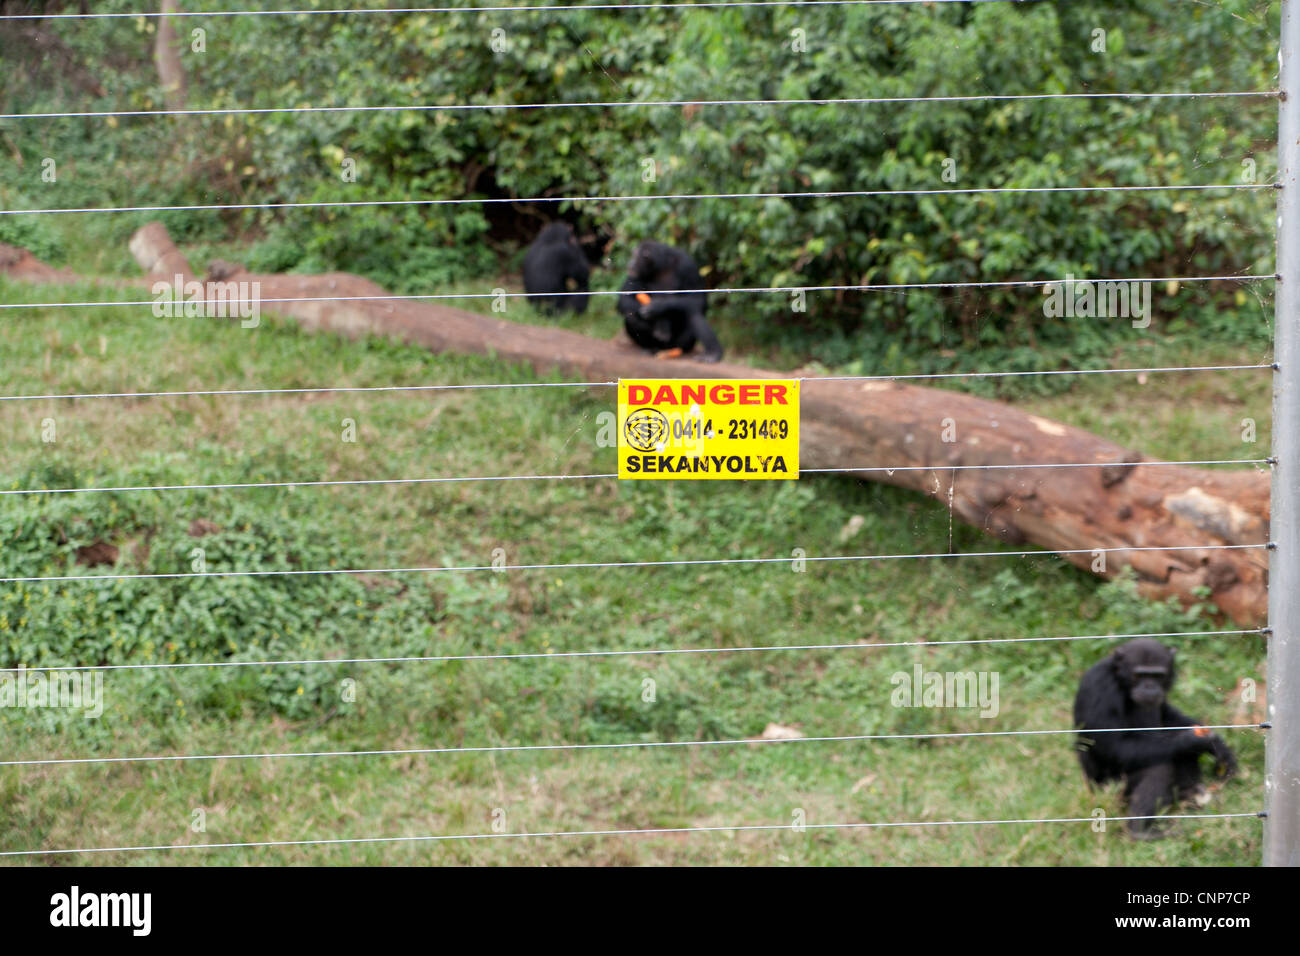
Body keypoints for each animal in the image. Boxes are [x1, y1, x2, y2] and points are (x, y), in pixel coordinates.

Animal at [1076, 639, 1237, 842]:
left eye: (1158, 676)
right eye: (1139, 675)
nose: (1149, 687)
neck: (1120, 680)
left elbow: (1166, 714)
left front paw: (1218, 746)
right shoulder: (1100, 687)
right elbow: (1115, 746)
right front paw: (1193, 741)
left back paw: (1192, 796)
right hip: (1108, 791)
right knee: (1159, 767)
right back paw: (1140, 830)